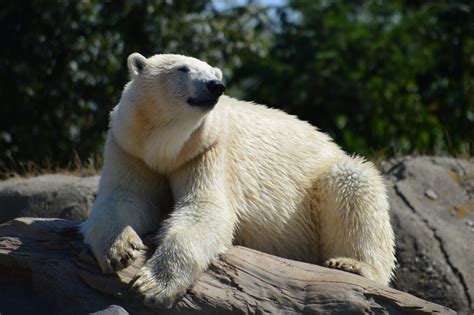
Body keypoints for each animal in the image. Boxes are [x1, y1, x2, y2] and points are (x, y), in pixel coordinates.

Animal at [80, 53, 396, 310]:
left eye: (213, 71)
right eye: (183, 68)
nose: (214, 85)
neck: (166, 146)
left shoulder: (207, 149)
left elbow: (205, 209)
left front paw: (153, 286)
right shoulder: (131, 148)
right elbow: (125, 197)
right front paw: (119, 250)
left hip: (324, 181)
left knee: (352, 183)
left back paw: (351, 264)